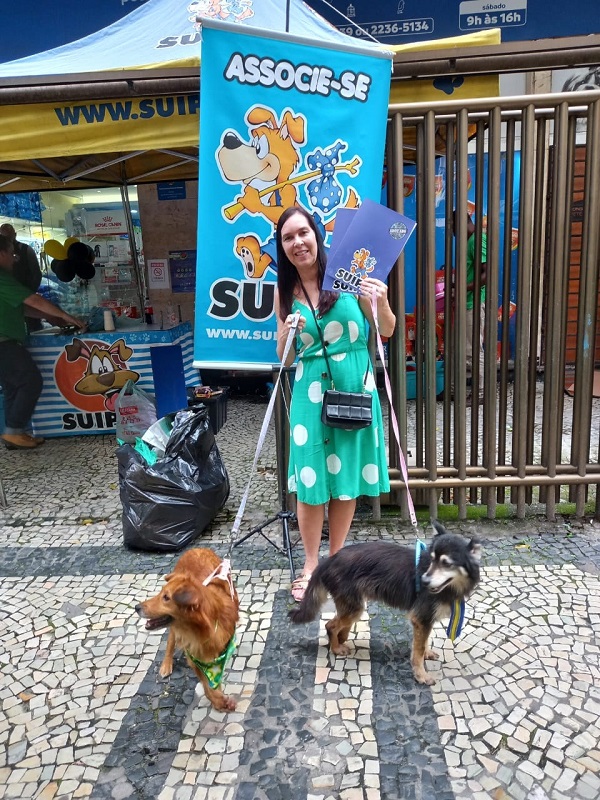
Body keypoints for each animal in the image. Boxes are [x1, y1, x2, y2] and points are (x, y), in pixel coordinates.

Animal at [135, 549, 239, 711]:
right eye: (160, 593)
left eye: (166, 597)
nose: (136, 607)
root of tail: (196, 548)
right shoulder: (194, 657)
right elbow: (207, 688)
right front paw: (218, 700)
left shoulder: (219, 653)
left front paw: (220, 698)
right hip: (173, 628)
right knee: (170, 642)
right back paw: (166, 664)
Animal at [289, 521, 481, 685]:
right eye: (432, 560)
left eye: (446, 563)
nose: (424, 581)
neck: (450, 586)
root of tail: (329, 561)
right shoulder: (421, 618)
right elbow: (417, 651)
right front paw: (421, 675)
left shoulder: (425, 619)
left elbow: (423, 642)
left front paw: (426, 653)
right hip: (354, 607)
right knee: (330, 625)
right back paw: (336, 648)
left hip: (353, 606)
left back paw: (341, 640)